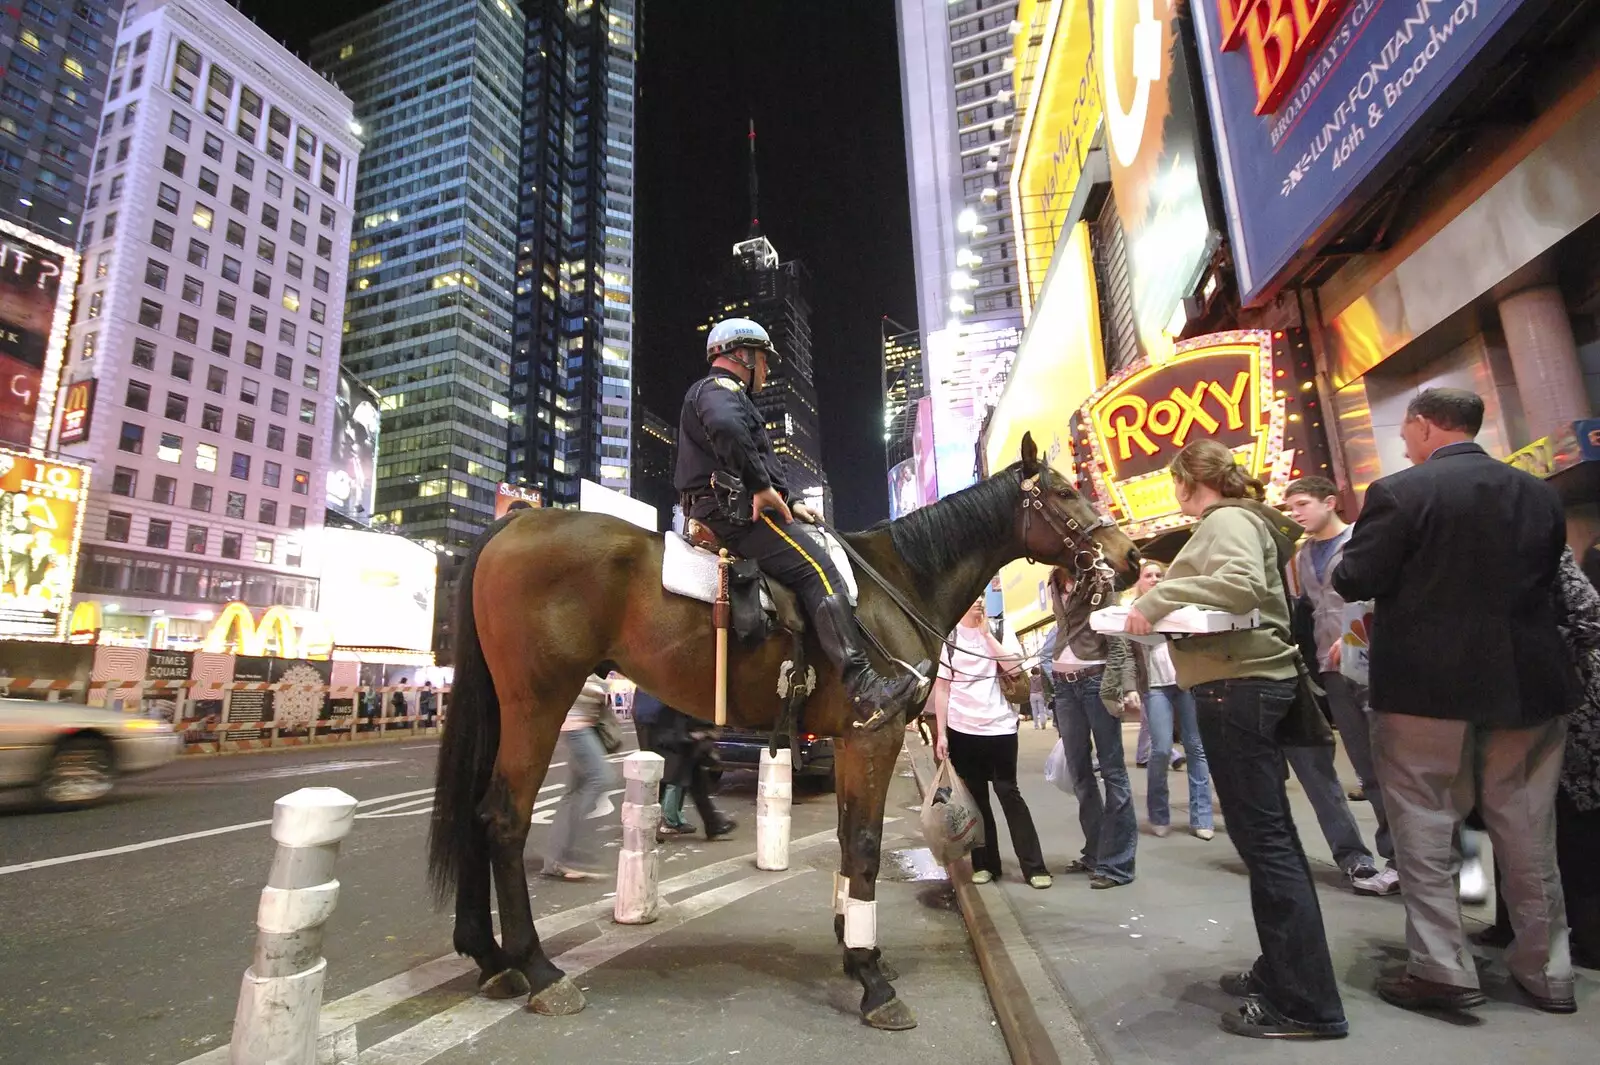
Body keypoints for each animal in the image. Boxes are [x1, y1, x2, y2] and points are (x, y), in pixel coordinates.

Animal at [425, 428, 1139, 1023]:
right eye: (1065, 491)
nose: (1129, 557)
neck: (900, 582)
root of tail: (513, 523)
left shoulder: (853, 741)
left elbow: (851, 840)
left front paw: (854, 948)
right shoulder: (875, 735)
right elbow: (866, 844)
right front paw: (872, 980)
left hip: (503, 705)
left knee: (473, 811)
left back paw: (489, 959)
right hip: (539, 702)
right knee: (505, 818)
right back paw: (538, 969)